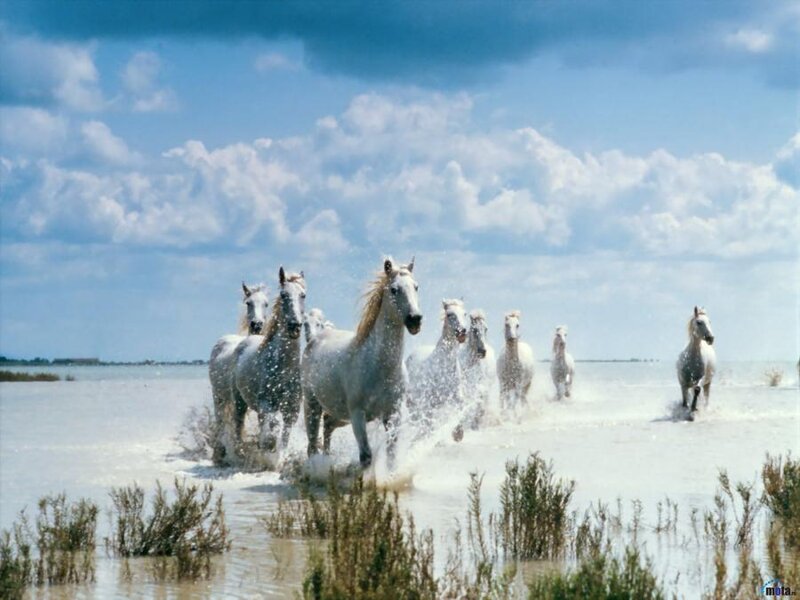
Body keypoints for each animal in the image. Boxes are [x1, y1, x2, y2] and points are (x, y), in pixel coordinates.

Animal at [209, 267, 306, 464]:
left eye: (303, 295)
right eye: (283, 294)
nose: (294, 326)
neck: (283, 367)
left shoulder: (292, 409)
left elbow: (284, 436)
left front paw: (279, 460)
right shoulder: (265, 403)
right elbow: (270, 429)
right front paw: (266, 446)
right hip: (229, 398)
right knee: (231, 423)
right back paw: (229, 453)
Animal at [302, 257, 422, 469]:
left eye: (416, 287)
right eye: (394, 289)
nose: (415, 320)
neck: (378, 364)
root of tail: (314, 340)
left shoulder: (393, 413)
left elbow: (391, 454)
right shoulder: (357, 414)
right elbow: (366, 456)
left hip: (337, 414)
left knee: (327, 430)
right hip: (312, 405)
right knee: (312, 445)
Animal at [405, 299, 468, 439]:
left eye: (465, 314)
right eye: (450, 314)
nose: (462, 332)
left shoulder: (455, 396)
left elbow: (462, 405)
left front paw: (458, 434)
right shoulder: (429, 405)